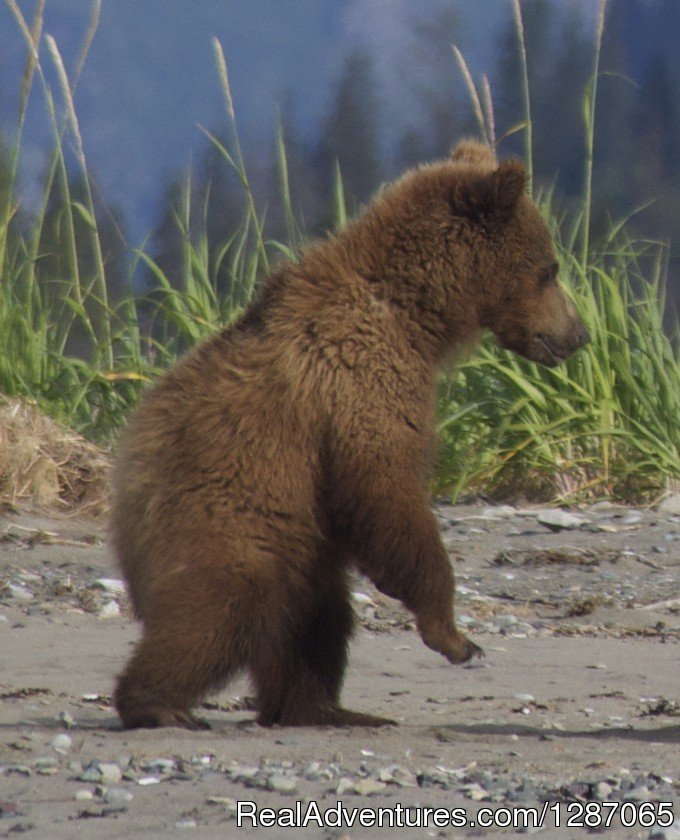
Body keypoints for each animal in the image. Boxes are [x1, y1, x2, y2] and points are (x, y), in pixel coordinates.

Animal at [111, 139, 588, 728]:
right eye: (550, 267)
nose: (578, 335)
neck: (415, 315)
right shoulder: (359, 380)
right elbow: (386, 490)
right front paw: (456, 638)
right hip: (229, 513)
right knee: (219, 609)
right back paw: (158, 703)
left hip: (298, 543)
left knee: (315, 622)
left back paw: (323, 707)